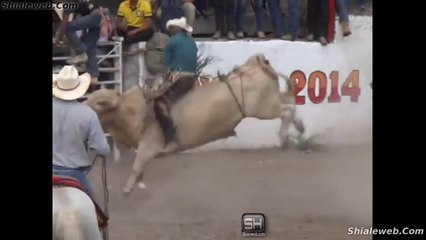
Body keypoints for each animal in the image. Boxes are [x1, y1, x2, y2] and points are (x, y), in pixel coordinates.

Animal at [86, 54, 304, 195]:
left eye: (95, 104)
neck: (130, 109)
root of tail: (254, 65)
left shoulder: (149, 145)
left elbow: (136, 165)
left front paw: (127, 188)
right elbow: (139, 169)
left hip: (264, 109)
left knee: (287, 111)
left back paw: (287, 135)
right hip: (271, 102)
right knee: (290, 102)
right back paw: (297, 129)